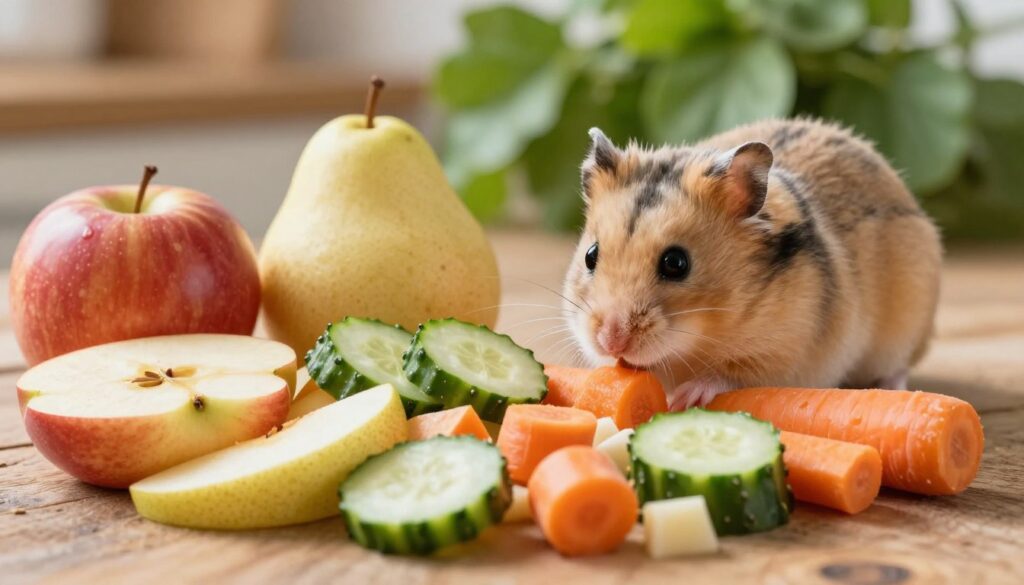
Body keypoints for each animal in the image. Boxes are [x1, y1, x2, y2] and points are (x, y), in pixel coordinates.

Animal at [563, 118, 942, 410]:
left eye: (676, 263)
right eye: (591, 255)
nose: (610, 342)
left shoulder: (783, 356)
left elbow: (730, 376)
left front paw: (685, 398)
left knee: (899, 365)